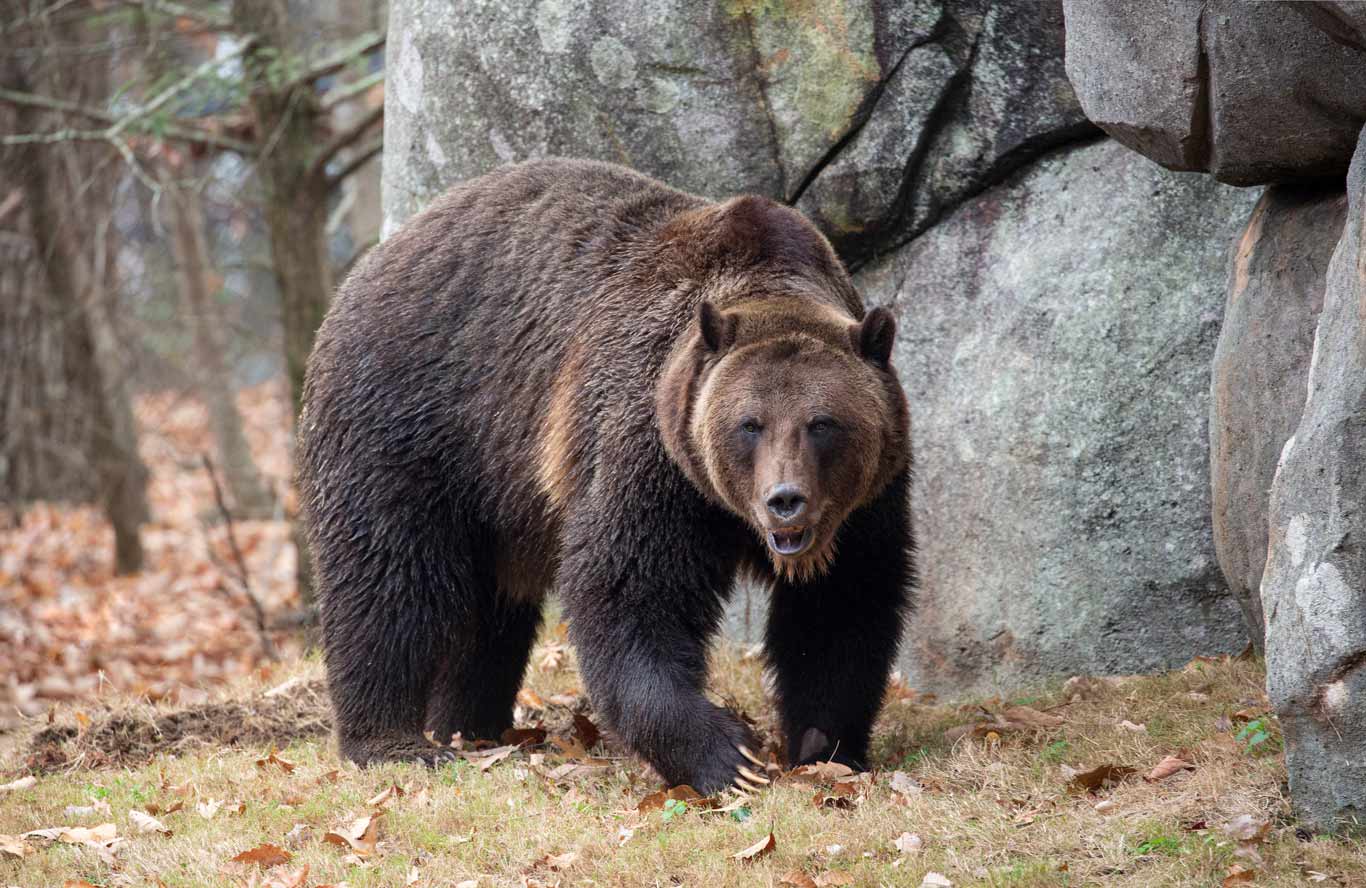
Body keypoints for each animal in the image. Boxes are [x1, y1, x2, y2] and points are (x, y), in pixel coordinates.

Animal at [297, 158, 913, 795]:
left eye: (822, 424)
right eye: (750, 424)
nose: (785, 500)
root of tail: (374, 258)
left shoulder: (868, 502)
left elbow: (844, 607)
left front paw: (825, 747)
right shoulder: (648, 449)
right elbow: (627, 592)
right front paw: (728, 757)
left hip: (499, 492)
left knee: (489, 610)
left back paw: (469, 725)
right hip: (415, 417)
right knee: (390, 578)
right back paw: (393, 742)